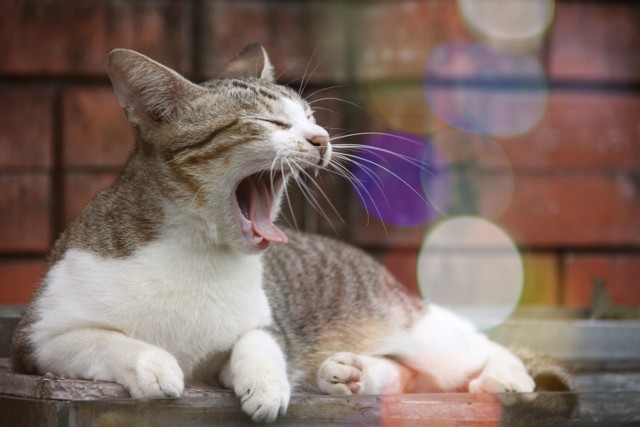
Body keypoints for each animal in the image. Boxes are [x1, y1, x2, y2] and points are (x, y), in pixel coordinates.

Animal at [8, 44, 568, 424]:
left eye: (310, 118)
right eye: (270, 121)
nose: (321, 138)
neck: (197, 250)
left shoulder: (265, 323)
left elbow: (260, 340)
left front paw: (266, 382)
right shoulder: (36, 340)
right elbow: (101, 340)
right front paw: (154, 364)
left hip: (413, 327)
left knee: (470, 347)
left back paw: (502, 375)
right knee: (411, 373)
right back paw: (350, 374)